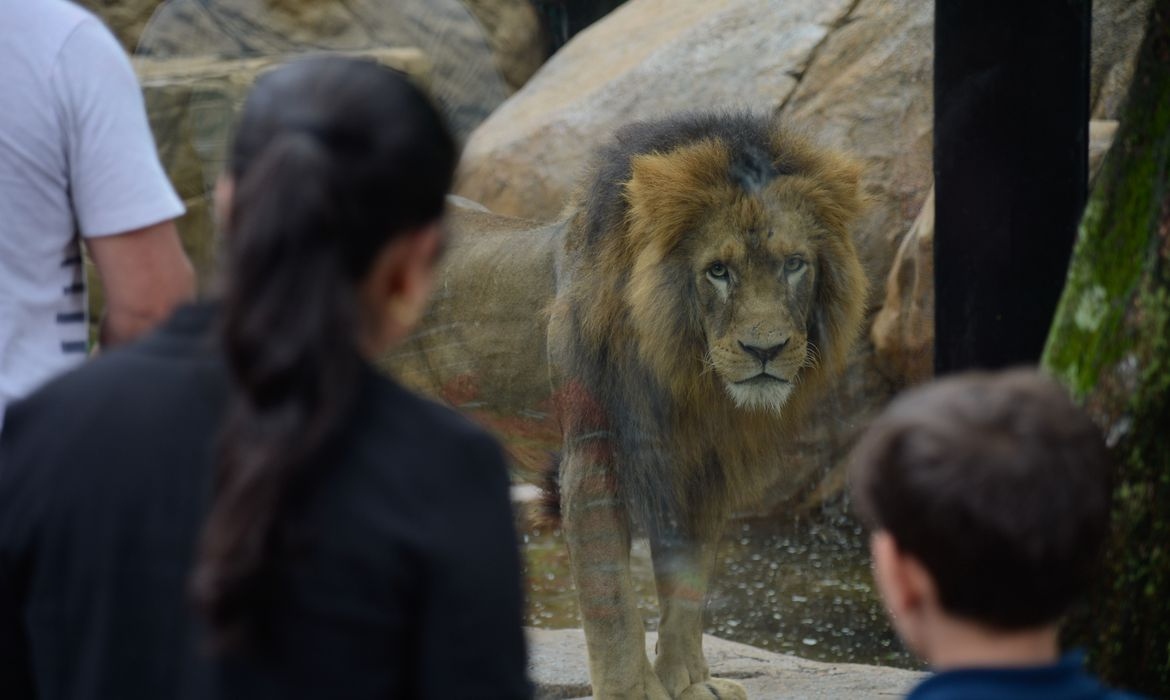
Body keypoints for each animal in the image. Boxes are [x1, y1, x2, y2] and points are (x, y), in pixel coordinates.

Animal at [540, 112, 870, 697]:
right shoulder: (590, 460)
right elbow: (612, 602)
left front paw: (690, 683)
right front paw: (633, 692)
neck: (686, 380)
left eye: (794, 264)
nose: (765, 350)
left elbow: (687, 591)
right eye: (718, 270)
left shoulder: (699, 473)